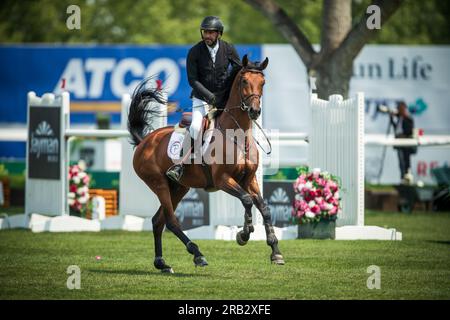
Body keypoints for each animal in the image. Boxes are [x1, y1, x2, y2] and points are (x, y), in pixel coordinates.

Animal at [126, 54, 284, 272]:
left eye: (263, 82)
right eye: (244, 81)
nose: (254, 111)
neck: (238, 135)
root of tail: (145, 141)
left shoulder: (248, 179)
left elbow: (263, 207)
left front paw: (275, 251)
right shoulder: (223, 179)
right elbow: (246, 200)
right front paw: (244, 234)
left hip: (179, 187)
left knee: (158, 221)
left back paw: (162, 263)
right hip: (159, 184)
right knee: (171, 221)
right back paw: (197, 254)